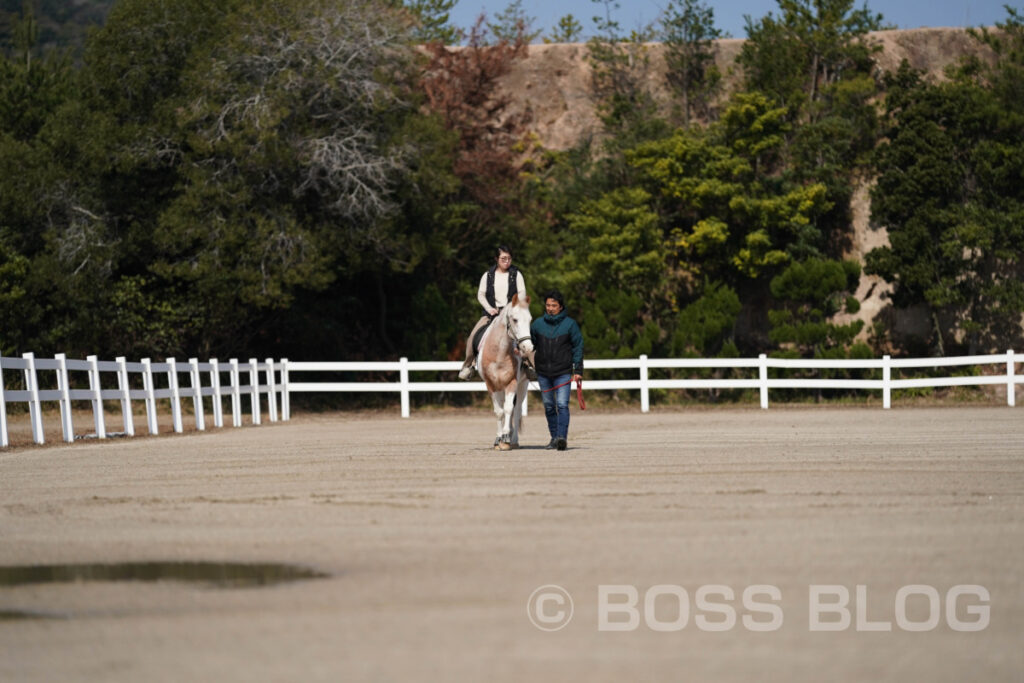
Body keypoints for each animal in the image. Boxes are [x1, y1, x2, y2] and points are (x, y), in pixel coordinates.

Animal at [473, 292, 536, 448]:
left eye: (530, 319)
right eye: (515, 319)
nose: (528, 347)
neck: (499, 353)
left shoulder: (512, 383)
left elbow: (508, 409)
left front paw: (506, 438)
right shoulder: (491, 385)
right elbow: (499, 411)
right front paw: (498, 439)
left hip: (522, 385)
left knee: (517, 410)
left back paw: (514, 440)